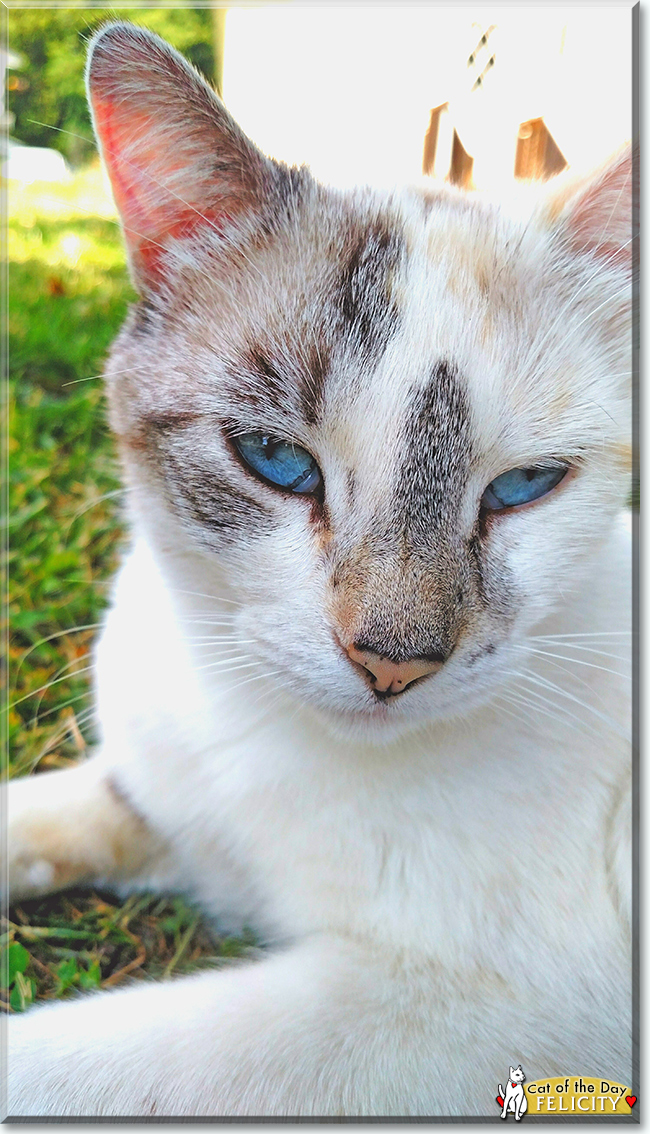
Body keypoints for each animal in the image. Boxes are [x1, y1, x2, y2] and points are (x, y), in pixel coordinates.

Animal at [6, 22, 635, 1120]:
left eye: (524, 486)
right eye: (275, 460)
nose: (392, 662)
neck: (250, 730)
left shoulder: (464, 1012)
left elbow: (79, 1069)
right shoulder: (161, 803)